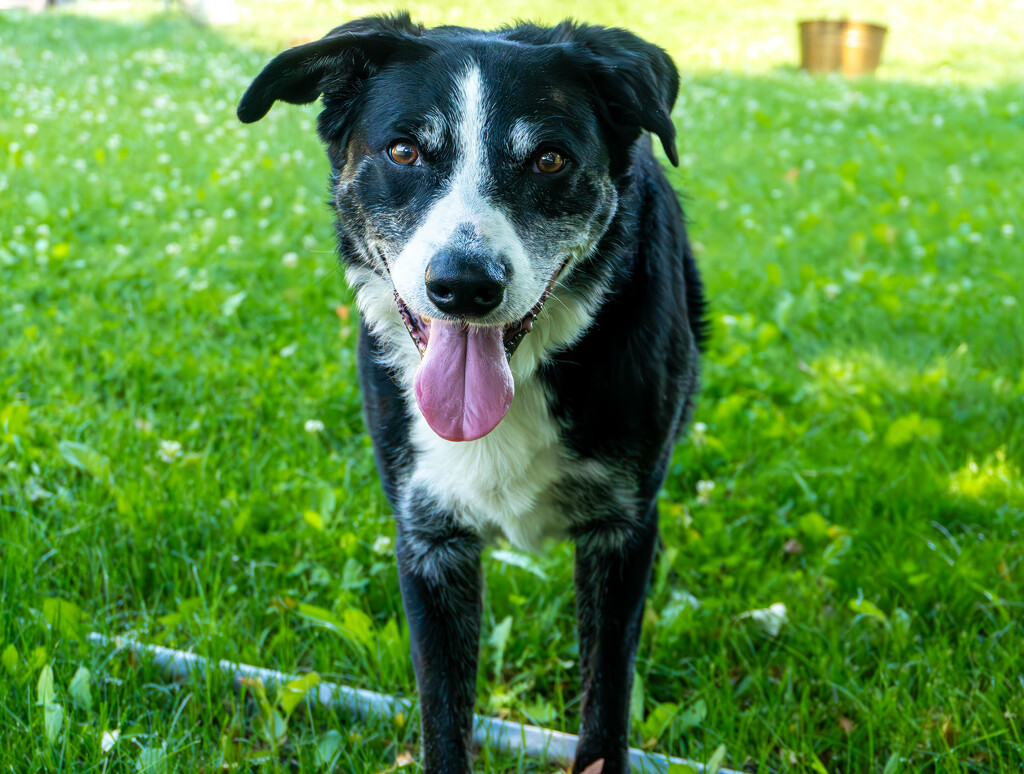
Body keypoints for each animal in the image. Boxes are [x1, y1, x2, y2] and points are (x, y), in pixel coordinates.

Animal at [238, 13, 704, 774]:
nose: (463, 285)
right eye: (404, 151)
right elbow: (443, 713)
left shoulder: (621, 529)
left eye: (549, 160)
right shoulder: (429, 537)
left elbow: (605, 709)